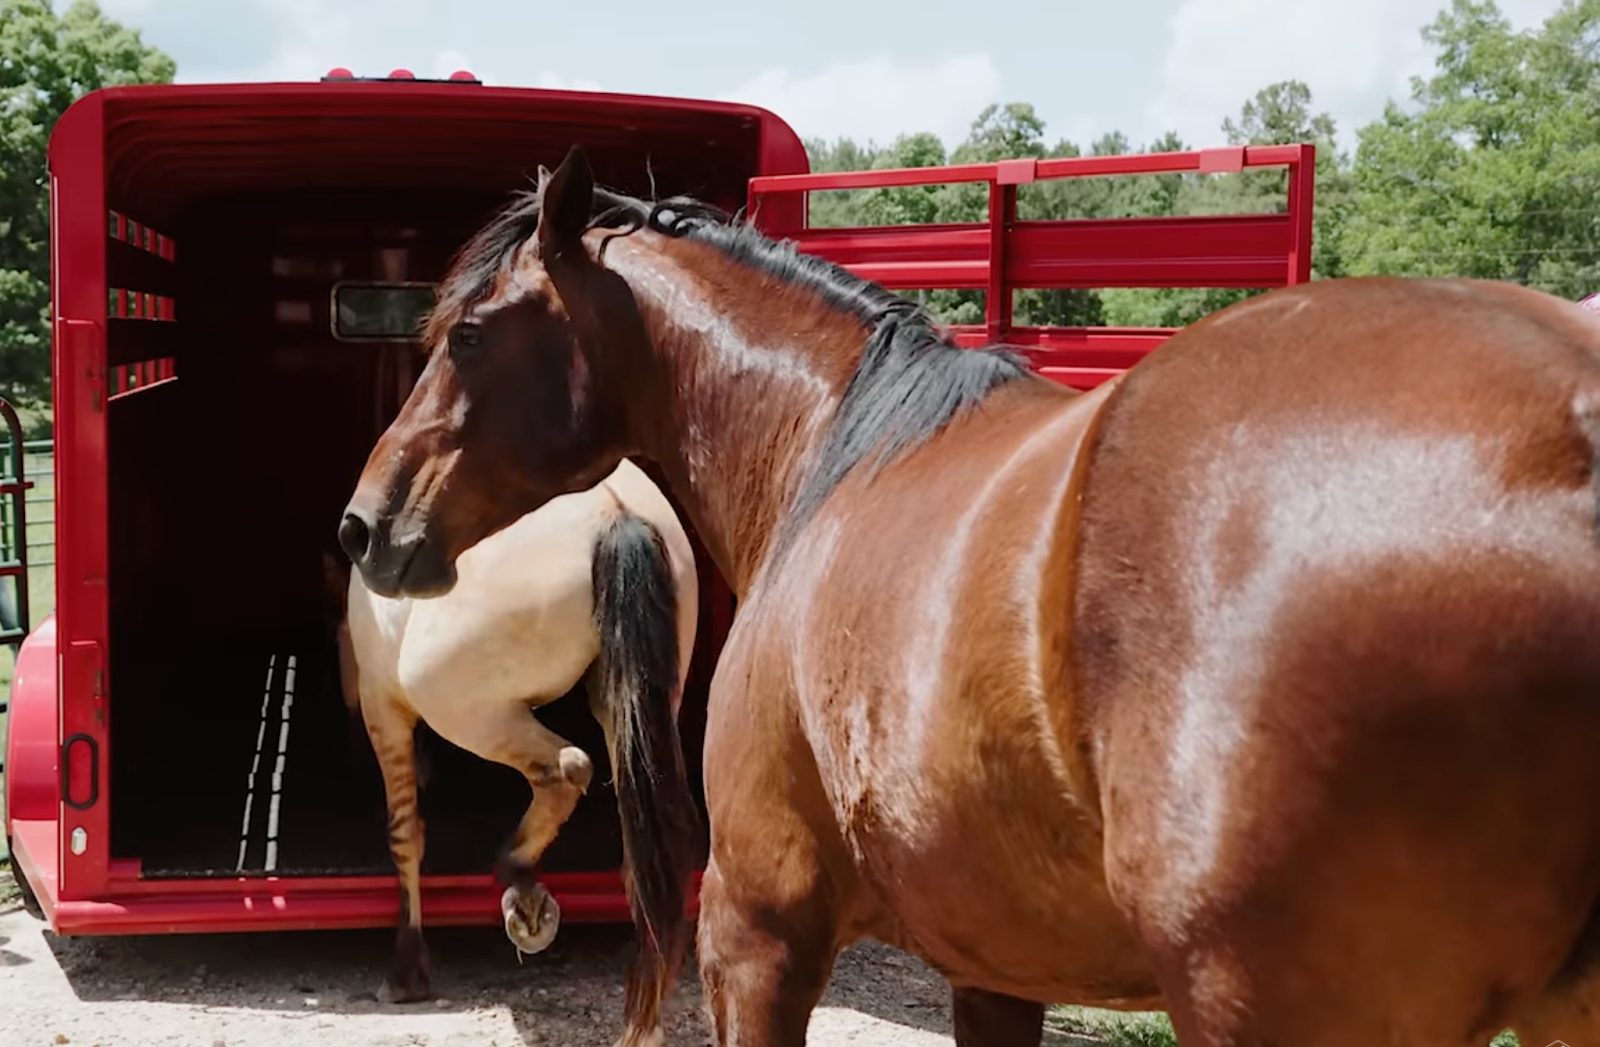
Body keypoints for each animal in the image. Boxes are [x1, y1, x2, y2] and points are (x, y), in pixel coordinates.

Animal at [327, 454, 702, 1021]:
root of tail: (611, 512)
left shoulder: (383, 707)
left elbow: (405, 833)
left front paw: (408, 969)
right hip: (629, 703)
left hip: (467, 710)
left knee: (567, 769)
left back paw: (520, 880)